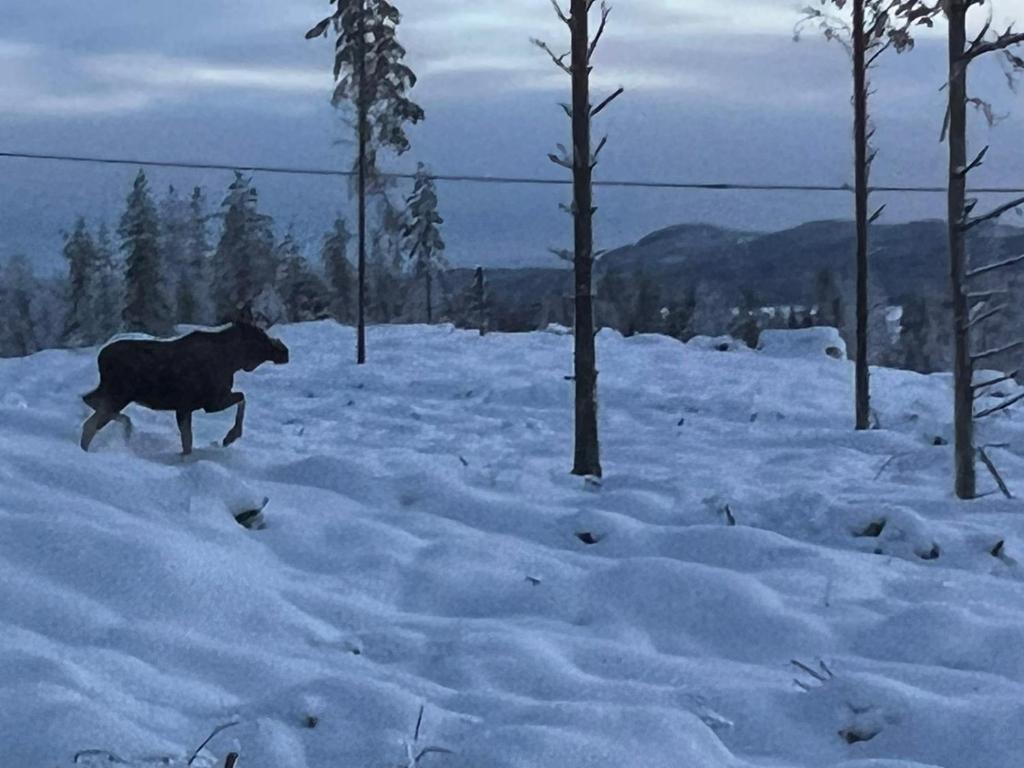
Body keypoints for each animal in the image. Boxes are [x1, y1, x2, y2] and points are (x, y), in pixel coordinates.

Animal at [80, 321, 289, 455]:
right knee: (90, 424)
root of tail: (101, 358)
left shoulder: (184, 408)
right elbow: (242, 398)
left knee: (88, 400)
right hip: (119, 395)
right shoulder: (211, 402)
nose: (284, 351)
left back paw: (125, 428)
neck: (233, 360)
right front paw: (230, 436)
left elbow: (187, 443)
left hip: (110, 392)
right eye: (261, 336)